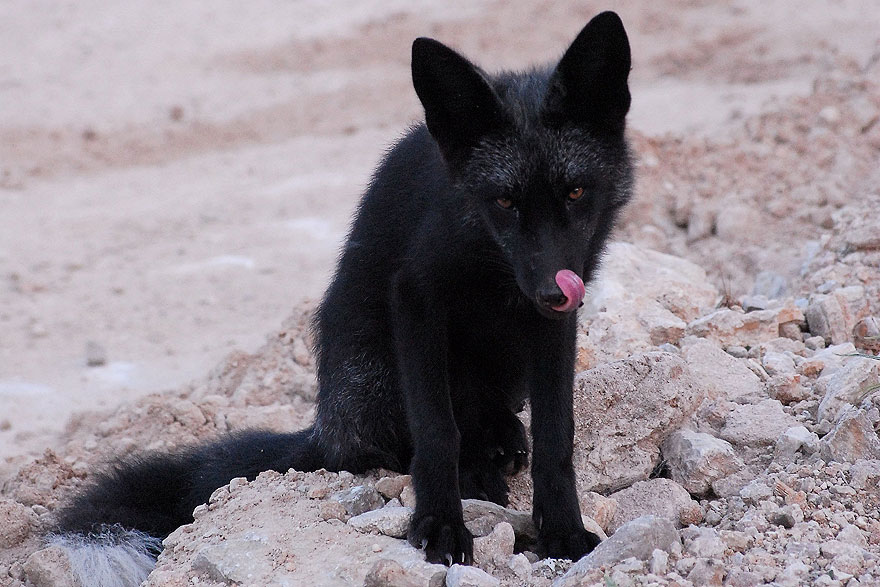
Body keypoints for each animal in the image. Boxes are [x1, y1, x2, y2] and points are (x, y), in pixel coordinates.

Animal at [51, 10, 633, 585]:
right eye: (505, 201)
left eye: (576, 192)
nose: (552, 290)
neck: (492, 265)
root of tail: (325, 426)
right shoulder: (416, 297)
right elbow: (437, 434)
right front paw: (441, 526)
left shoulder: (553, 324)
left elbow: (556, 439)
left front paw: (563, 533)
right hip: (377, 373)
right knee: (406, 443)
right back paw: (475, 467)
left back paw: (500, 440)